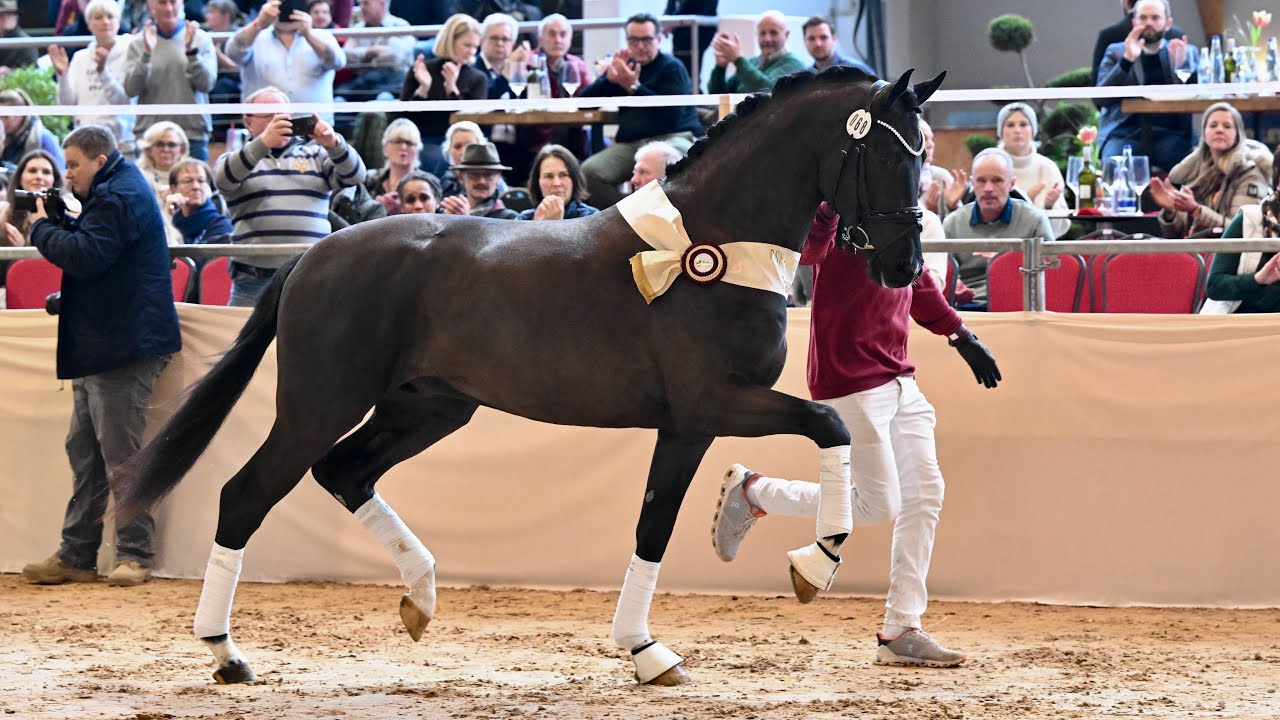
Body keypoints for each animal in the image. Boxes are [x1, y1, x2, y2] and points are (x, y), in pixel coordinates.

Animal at [115, 66, 945, 687]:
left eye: (923, 155)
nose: (904, 266)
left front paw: (646, 651)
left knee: (345, 472)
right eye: (889, 155)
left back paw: (420, 598)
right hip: (321, 404)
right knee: (246, 494)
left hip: (429, 409)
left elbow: (654, 524)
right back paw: (226, 654)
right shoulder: (713, 405)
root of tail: (312, 256)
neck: (708, 247)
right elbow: (827, 424)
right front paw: (815, 565)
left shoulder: (687, 424)